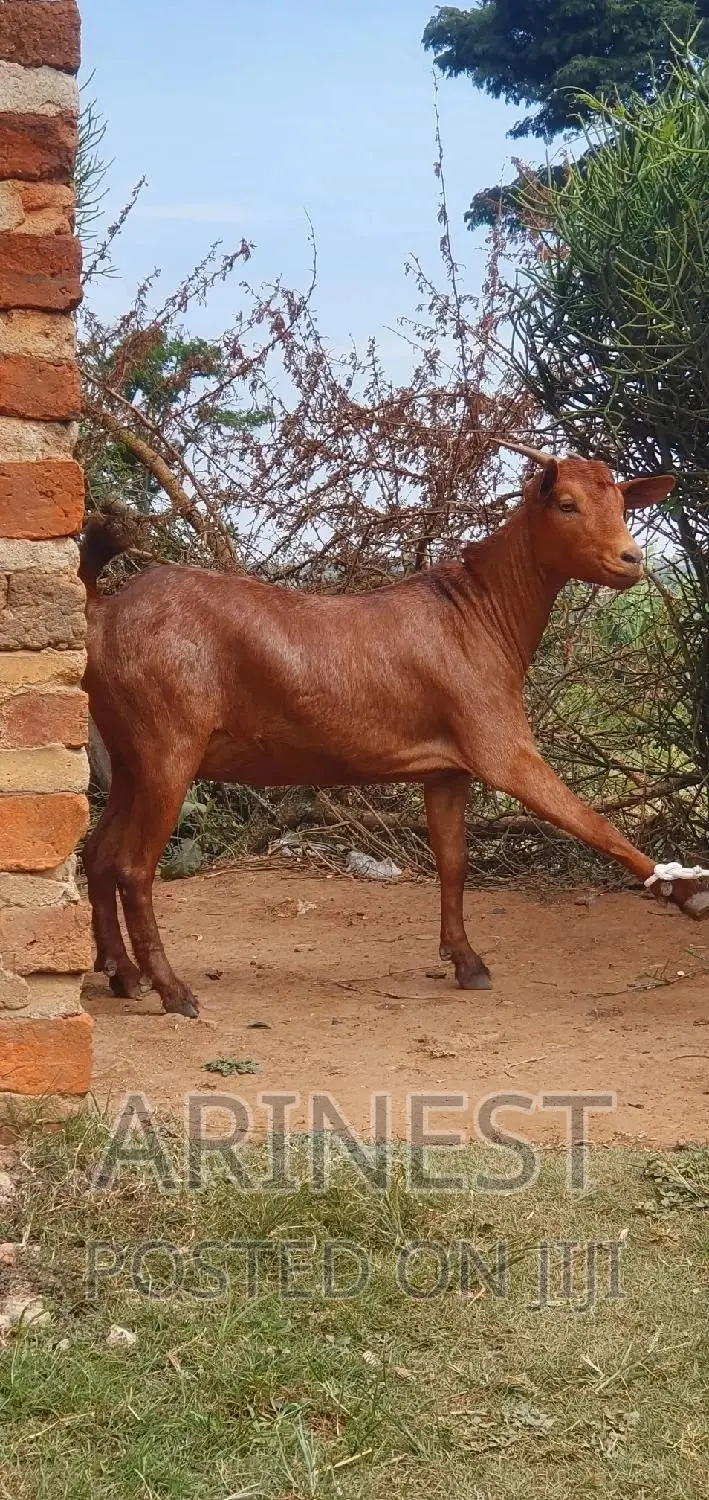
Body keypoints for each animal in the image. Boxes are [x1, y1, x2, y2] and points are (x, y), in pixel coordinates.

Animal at [80, 448, 708, 1018]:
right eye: (567, 503)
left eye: (622, 502)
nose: (631, 559)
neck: (477, 614)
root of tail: (103, 612)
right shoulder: (500, 746)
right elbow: (593, 824)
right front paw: (684, 889)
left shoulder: (447, 770)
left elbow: (453, 862)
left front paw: (466, 961)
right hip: (169, 745)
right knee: (134, 866)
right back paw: (171, 990)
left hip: (130, 754)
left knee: (99, 852)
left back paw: (122, 975)